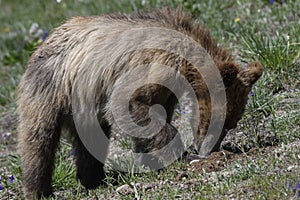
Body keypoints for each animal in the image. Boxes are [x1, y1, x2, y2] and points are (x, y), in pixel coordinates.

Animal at [16, 7, 262, 198]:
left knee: (91, 140)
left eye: (231, 124)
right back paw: (39, 190)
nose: (210, 150)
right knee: (39, 139)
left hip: (83, 107)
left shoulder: (167, 90)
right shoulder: (152, 65)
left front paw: (150, 159)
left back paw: (93, 179)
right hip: (50, 90)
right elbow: (132, 105)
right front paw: (181, 155)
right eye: (219, 119)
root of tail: (44, 42)